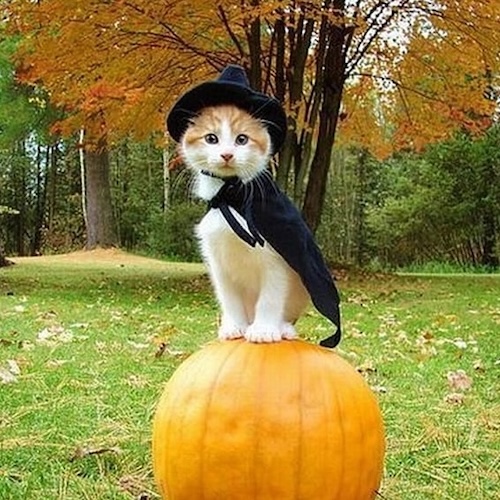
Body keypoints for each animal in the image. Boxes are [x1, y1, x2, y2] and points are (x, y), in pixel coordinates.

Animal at [180, 103, 308, 342]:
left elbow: (271, 296)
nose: (227, 154)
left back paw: (284, 328)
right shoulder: (218, 263)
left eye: (242, 139)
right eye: (211, 138)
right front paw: (234, 326)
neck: (230, 198)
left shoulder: (276, 260)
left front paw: (264, 330)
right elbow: (229, 298)